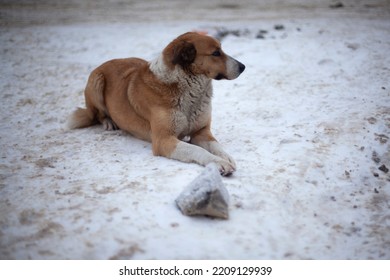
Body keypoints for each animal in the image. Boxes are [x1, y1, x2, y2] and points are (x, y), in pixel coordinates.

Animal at [67, 32, 244, 175]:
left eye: (221, 50)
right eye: (216, 53)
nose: (243, 67)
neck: (189, 91)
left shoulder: (201, 131)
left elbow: (216, 145)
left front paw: (226, 157)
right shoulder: (163, 140)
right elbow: (196, 150)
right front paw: (218, 162)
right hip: (97, 81)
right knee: (97, 114)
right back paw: (109, 122)